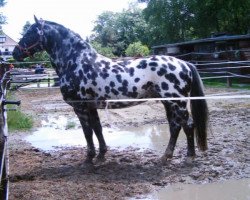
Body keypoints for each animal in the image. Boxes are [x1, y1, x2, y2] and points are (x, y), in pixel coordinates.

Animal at [13, 16, 209, 164]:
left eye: (30, 32)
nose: (14, 53)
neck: (76, 62)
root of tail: (184, 63)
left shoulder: (80, 107)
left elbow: (87, 132)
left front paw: (89, 158)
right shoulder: (91, 106)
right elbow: (97, 129)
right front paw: (101, 155)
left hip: (177, 102)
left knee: (187, 125)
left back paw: (189, 157)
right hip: (168, 103)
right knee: (175, 126)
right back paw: (166, 157)